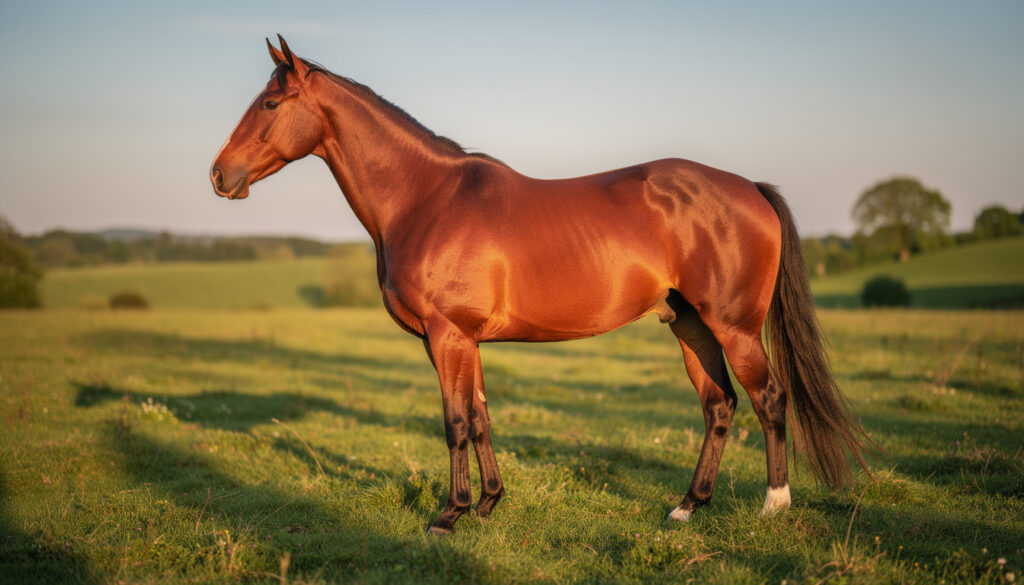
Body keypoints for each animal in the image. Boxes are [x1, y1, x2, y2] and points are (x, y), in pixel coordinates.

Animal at [211, 36, 870, 534]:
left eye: (270, 103)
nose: (220, 175)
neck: (426, 198)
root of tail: (749, 187)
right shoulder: (462, 341)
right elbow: (479, 415)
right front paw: (488, 504)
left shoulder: (447, 336)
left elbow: (455, 423)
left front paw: (448, 516)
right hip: (689, 326)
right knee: (720, 405)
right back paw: (686, 508)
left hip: (734, 329)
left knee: (769, 399)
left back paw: (774, 507)